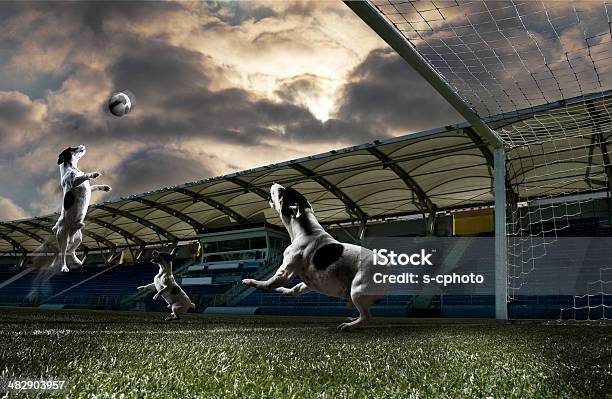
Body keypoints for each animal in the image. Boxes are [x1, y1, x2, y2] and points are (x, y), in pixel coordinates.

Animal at [51, 145, 111, 274]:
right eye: (72, 148)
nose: (82, 145)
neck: (72, 168)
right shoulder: (73, 182)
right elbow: (84, 176)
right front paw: (93, 174)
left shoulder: (89, 187)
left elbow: (94, 186)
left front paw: (104, 187)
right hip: (63, 239)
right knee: (63, 254)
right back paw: (64, 267)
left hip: (79, 238)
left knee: (71, 251)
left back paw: (77, 261)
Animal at [240, 184, 380, 332]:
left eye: (281, 193)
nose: (275, 184)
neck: (306, 230)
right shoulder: (308, 283)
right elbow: (292, 290)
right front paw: (281, 290)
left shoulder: (284, 274)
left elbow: (266, 284)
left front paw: (250, 281)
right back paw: (352, 319)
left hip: (357, 290)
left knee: (366, 317)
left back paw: (350, 325)